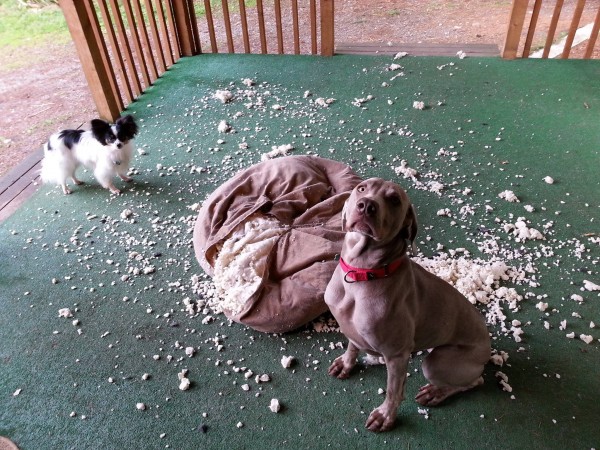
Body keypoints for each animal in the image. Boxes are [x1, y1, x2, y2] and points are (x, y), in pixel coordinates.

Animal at [326, 178, 490, 430]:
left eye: (394, 199)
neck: (362, 274)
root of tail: (488, 347)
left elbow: (393, 391)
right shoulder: (352, 329)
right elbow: (352, 346)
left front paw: (385, 416)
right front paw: (346, 363)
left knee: (476, 380)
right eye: (361, 188)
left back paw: (436, 392)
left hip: (437, 363)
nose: (366, 205)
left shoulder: (397, 356)